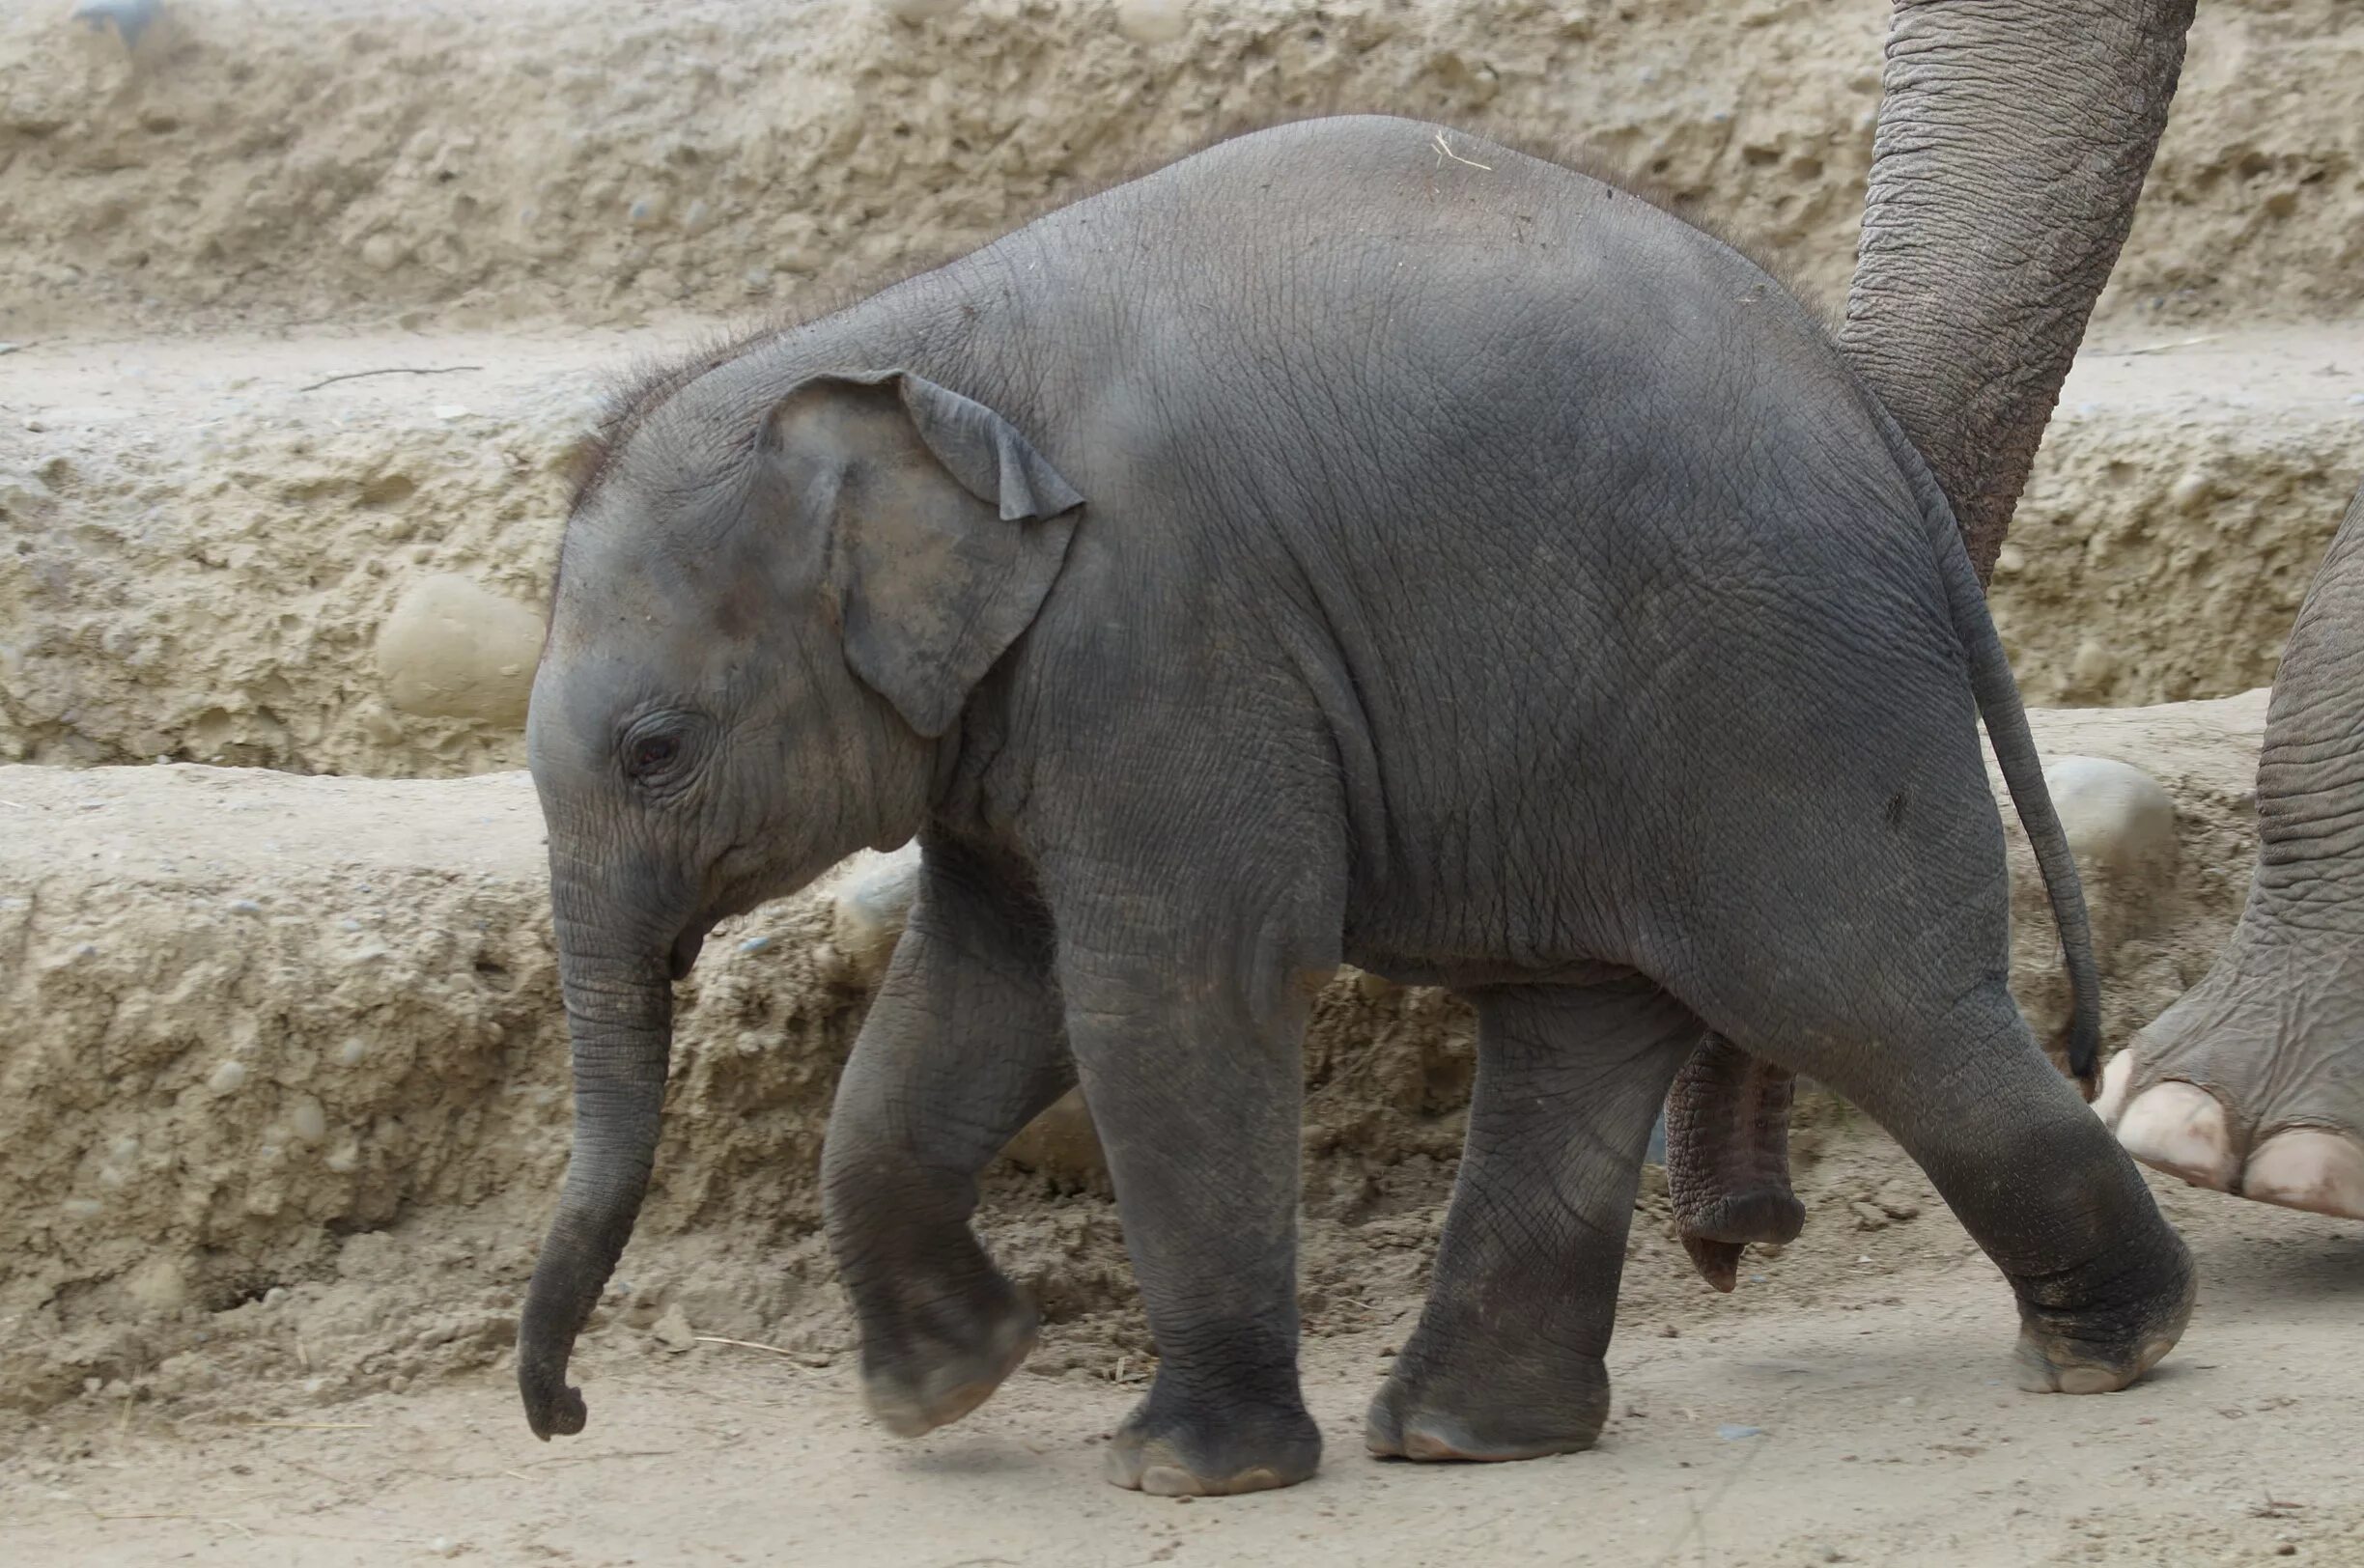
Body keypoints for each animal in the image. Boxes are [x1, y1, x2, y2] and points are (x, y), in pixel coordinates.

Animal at [518, 113, 2193, 1495]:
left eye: (655, 752)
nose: (566, 1416)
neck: (891, 339)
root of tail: (1883, 436)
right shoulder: (1027, 703)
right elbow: (982, 990)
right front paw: (948, 1391)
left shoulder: (1168, 631)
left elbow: (1174, 989)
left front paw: (1185, 1478)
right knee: (1583, 1032)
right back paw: (1465, 1439)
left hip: (1784, 705)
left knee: (1869, 1007)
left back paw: (2113, 1350)